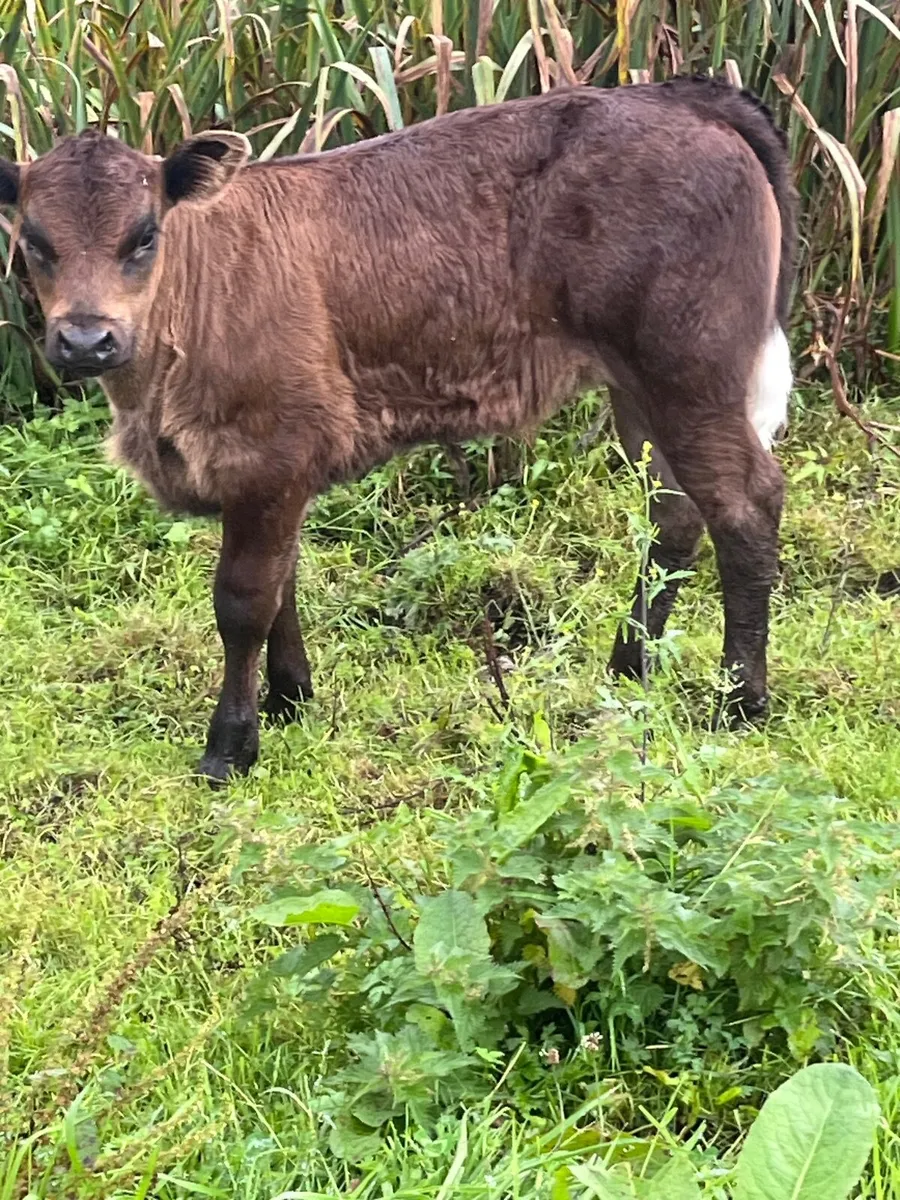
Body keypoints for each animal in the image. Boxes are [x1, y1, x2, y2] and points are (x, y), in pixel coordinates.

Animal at [0, 77, 796, 783]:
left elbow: (245, 601)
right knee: (675, 511)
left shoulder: (270, 453)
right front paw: (291, 699)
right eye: (33, 241)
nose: (85, 339)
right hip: (640, 389)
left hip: (691, 373)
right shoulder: (272, 472)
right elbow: (284, 582)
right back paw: (630, 664)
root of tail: (683, 96)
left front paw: (232, 744)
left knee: (744, 505)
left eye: (144, 237)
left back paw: (740, 700)